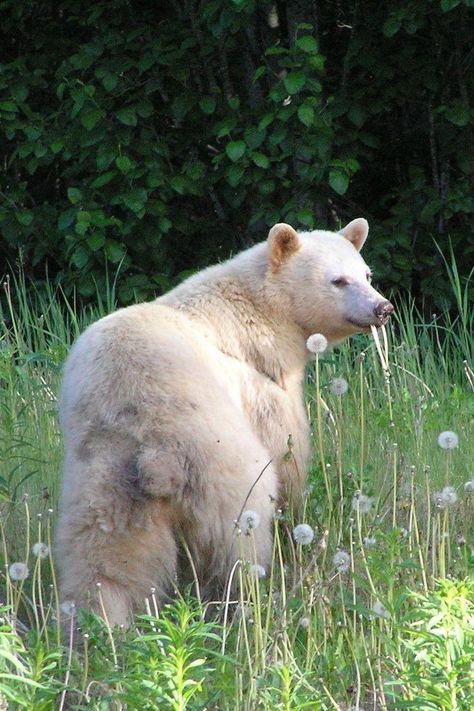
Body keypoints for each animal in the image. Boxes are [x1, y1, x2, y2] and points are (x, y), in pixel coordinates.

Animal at [57, 217, 394, 624]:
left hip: (109, 478)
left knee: (106, 558)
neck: (259, 314)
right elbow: (289, 456)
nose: (382, 307)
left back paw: (99, 623)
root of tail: (156, 450)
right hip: (220, 467)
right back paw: (246, 601)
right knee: (239, 544)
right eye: (338, 280)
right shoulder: (262, 388)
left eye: (366, 273)